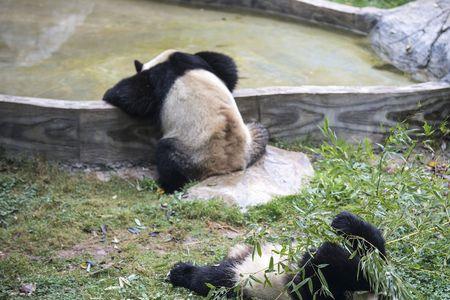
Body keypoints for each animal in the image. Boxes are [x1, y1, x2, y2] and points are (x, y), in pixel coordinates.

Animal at [103, 49, 268, 192]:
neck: (166, 60)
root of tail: (230, 165)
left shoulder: (157, 76)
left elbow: (136, 94)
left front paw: (109, 94)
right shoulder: (196, 59)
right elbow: (226, 68)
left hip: (192, 154)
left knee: (168, 158)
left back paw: (168, 185)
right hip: (250, 141)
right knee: (260, 131)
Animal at [167, 212, 384, 298]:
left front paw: (322, 254)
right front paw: (343, 224)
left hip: (238, 278)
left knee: (211, 278)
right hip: (240, 276)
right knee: (211, 277)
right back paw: (179, 272)